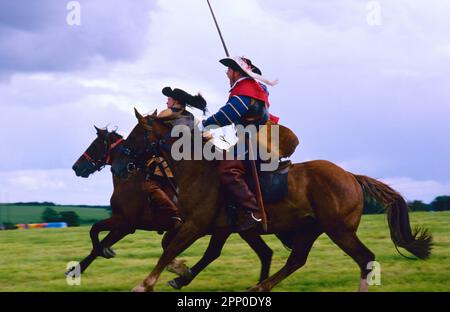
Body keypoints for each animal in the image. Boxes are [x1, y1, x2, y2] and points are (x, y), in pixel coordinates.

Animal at [70, 125, 272, 288]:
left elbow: (95, 234)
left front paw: (81, 267)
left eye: (94, 145)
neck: (131, 179)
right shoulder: (125, 224)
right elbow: (99, 240)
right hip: (236, 230)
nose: (76, 167)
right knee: (263, 253)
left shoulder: (125, 223)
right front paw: (77, 269)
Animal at [110, 108, 432, 292]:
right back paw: (260, 286)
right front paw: (180, 273)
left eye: (135, 135)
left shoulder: (197, 225)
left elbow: (170, 250)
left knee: (365, 259)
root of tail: (351, 176)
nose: (118, 165)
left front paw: (146, 284)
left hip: (339, 230)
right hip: (312, 229)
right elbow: (186, 249)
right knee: (297, 260)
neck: (200, 168)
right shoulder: (217, 227)